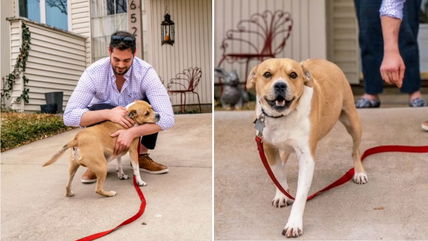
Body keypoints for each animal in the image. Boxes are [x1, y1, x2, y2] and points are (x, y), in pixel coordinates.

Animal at [247, 58, 368, 237]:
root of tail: (326, 61)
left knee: (355, 151)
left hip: (353, 122)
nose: (280, 85)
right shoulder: (269, 148)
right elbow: (279, 174)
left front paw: (294, 223)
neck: (282, 117)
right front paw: (281, 193)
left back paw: (359, 172)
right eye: (267, 74)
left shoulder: (306, 158)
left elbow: (301, 195)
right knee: (282, 160)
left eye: (293, 75)